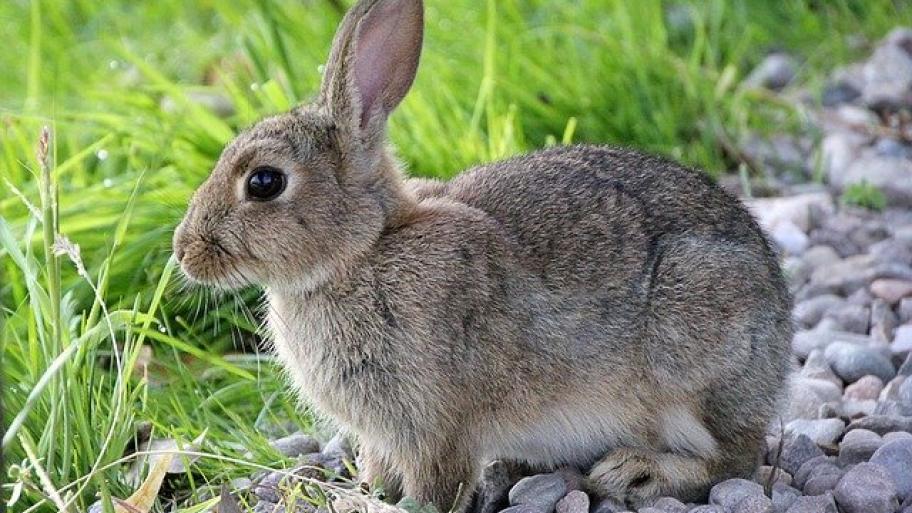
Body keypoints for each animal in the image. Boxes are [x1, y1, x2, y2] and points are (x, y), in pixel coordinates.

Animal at [172, 0, 793, 510]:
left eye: (264, 182)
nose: (184, 252)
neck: (364, 251)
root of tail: (781, 330)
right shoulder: (384, 432)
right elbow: (380, 467)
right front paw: (364, 492)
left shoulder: (435, 424)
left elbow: (435, 485)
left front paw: (400, 505)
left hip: (695, 354)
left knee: (734, 459)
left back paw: (636, 473)